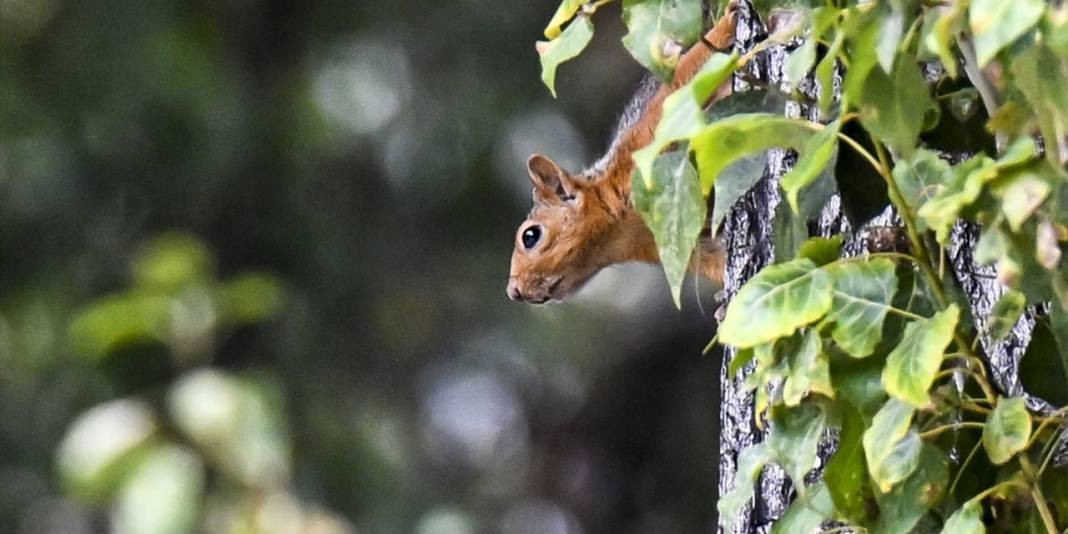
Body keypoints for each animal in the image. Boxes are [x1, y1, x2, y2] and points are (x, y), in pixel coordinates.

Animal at [506, 3, 739, 305]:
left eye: (530, 236)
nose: (513, 292)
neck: (622, 234)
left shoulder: (646, 137)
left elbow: (686, 76)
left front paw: (727, 24)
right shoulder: (685, 244)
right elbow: (720, 262)